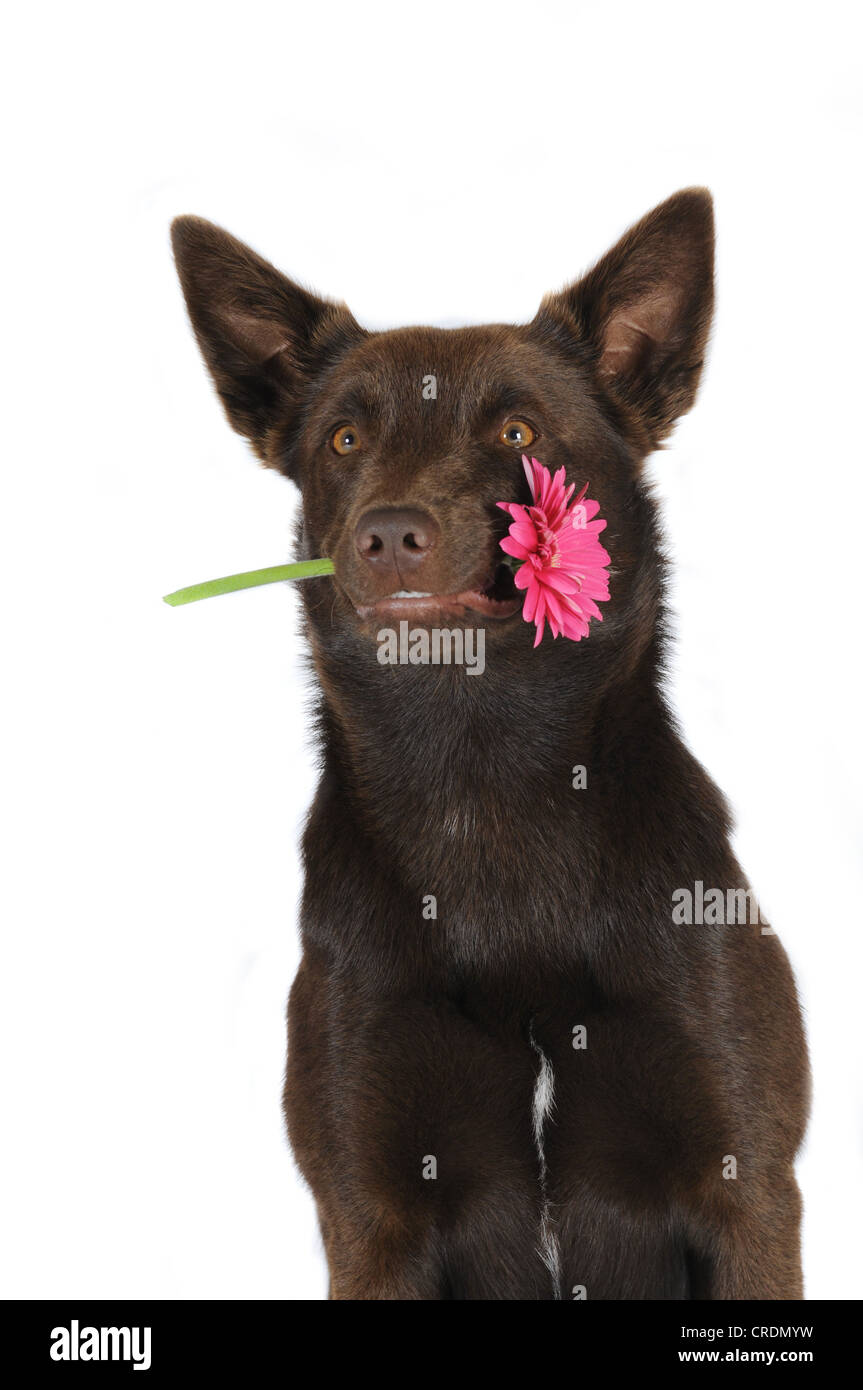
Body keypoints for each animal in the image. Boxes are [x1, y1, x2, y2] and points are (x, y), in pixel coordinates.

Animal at [173, 190, 806, 1295]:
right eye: (344, 439)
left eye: (517, 430)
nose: (390, 534)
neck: (483, 779)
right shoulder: (369, 1215)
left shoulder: (749, 1190)